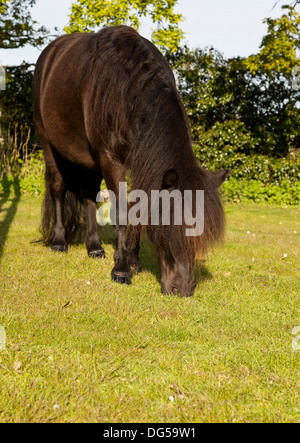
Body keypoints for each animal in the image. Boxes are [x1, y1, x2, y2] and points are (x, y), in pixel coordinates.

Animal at [32, 26, 229, 298]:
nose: (184, 288)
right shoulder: (111, 159)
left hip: (89, 158)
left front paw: (132, 260)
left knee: (88, 194)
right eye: (170, 223)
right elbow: (122, 210)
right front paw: (122, 269)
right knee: (58, 188)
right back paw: (59, 242)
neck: (127, 87)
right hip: (49, 144)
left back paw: (94, 247)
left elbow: (136, 206)